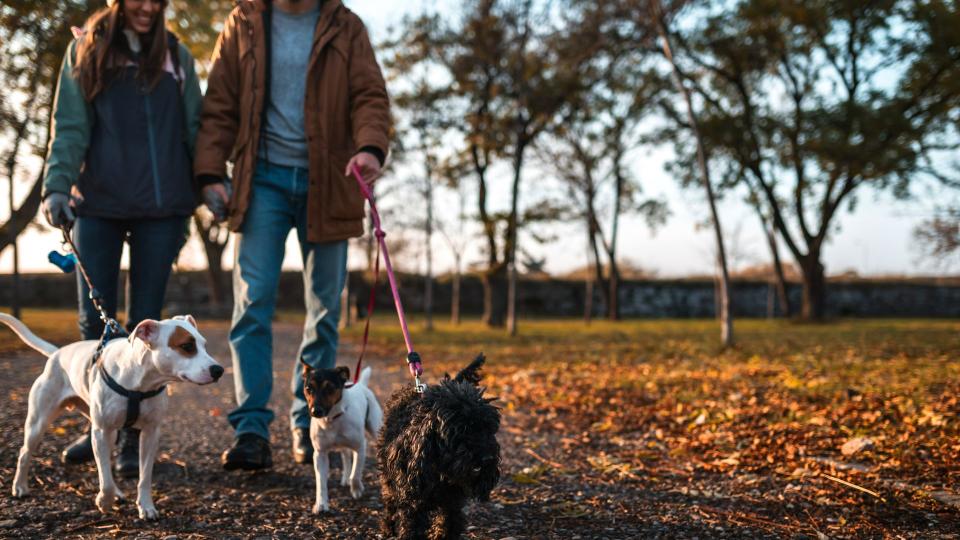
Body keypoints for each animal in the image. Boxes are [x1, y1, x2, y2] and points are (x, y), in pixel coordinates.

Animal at [0, 312, 223, 520]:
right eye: (187, 346)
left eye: (204, 345)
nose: (219, 370)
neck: (140, 382)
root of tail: (57, 354)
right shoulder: (101, 430)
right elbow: (104, 478)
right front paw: (104, 501)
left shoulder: (151, 433)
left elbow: (144, 476)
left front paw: (145, 506)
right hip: (39, 422)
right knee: (25, 452)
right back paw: (20, 486)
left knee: (105, 464)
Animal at [304, 360, 386, 512]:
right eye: (308, 388)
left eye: (329, 388)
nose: (316, 411)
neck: (331, 419)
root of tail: (361, 384)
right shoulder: (320, 454)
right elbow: (321, 482)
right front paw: (321, 504)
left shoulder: (360, 447)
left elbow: (356, 473)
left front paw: (357, 490)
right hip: (342, 445)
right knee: (346, 456)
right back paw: (345, 477)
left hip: (375, 428)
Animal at [378, 354, 502, 540]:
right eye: (461, 431)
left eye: (488, 428)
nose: (487, 458)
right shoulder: (414, 503)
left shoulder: (452, 501)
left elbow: (450, 522)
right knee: (390, 501)